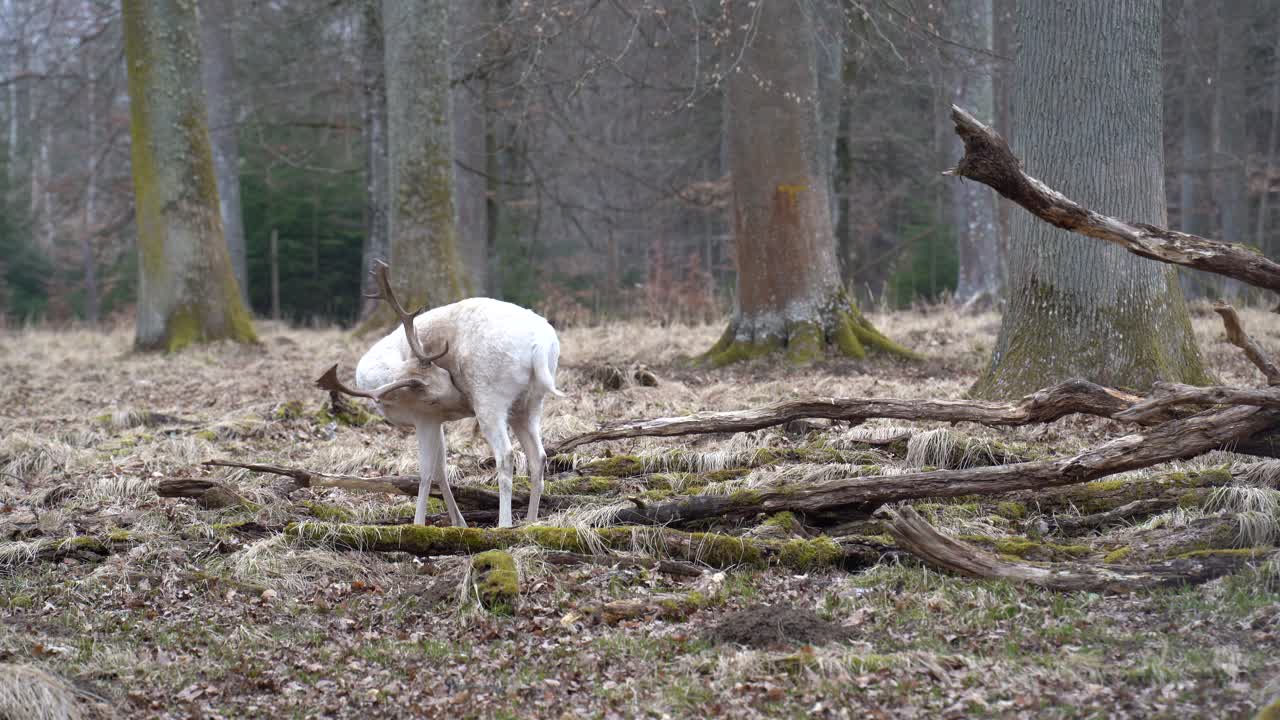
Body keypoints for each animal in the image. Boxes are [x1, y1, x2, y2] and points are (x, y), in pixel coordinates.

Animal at [316, 260, 563, 529]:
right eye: (442, 373)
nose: (462, 400)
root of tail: (541, 345)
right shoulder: (436, 417)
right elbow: (440, 469)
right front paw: (459, 522)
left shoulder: (424, 416)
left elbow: (426, 472)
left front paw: (418, 523)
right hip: (529, 403)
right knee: (538, 456)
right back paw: (531, 521)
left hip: (490, 399)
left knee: (506, 455)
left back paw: (504, 524)